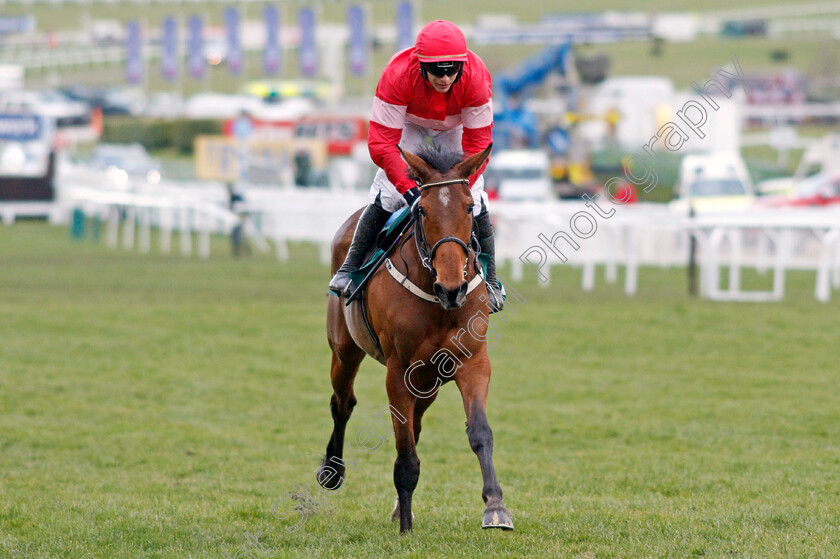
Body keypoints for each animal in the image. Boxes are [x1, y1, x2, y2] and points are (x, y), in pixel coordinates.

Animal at [316, 144, 512, 532]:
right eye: (421, 209)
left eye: (470, 208)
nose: (452, 287)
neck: (439, 302)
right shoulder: (399, 370)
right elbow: (404, 452)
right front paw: (406, 526)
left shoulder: (472, 362)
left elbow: (480, 432)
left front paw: (495, 506)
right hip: (345, 349)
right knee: (342, 403)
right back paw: (332, 471)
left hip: (428, 379)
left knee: (415, 424)